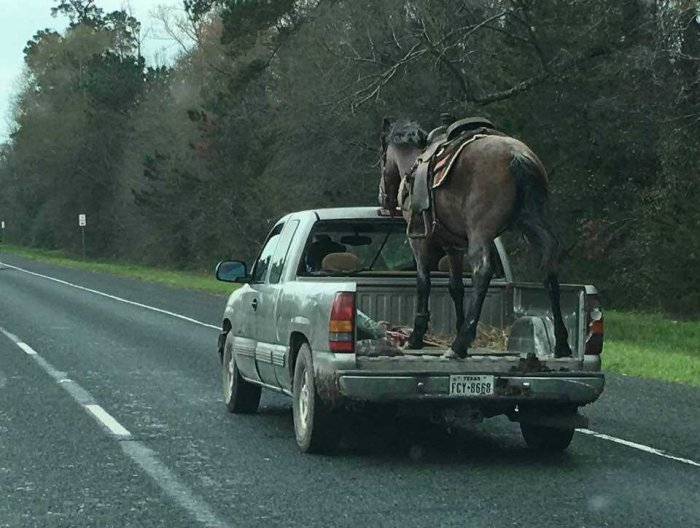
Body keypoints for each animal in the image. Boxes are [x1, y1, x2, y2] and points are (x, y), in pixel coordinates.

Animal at [380, 118, 572, 358]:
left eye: (382, 156)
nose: (384, 198)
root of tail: (517, 155)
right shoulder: (453, 246)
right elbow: (456, 287)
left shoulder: (420, 242)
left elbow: (423, 283)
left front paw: (416, 337)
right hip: (533, 225)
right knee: (549, 266)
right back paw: (562, 343)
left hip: (481, 233)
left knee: (482, 271)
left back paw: (458, 345)